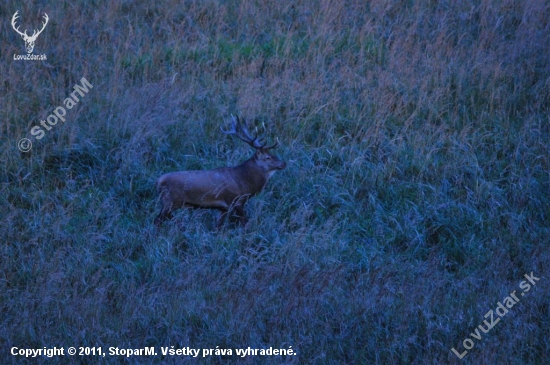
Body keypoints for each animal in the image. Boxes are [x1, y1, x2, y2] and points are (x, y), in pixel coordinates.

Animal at [154, 115, 286, 228]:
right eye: (268, 157)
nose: (283, 163)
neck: (245, 185)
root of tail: (158, 181)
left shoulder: (223, 208)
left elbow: (218, 227)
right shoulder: (235, 201)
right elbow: (245, 224)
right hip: (170, 201)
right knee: (157, 220)